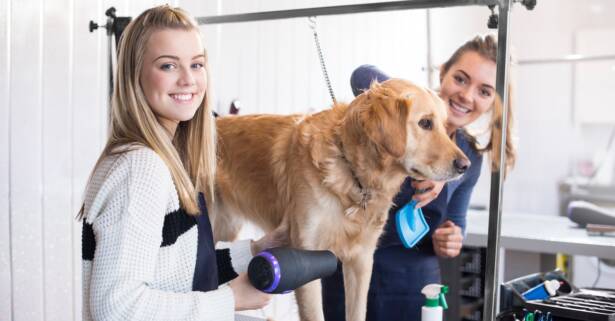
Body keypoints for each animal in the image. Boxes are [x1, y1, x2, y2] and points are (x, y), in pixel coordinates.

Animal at [214, 78, 470, 320]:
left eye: (445, 126)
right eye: (425, 123)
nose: (465, 166)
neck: (354, 174)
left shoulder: (361, 260)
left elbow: (357, 313)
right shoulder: (306, 256)